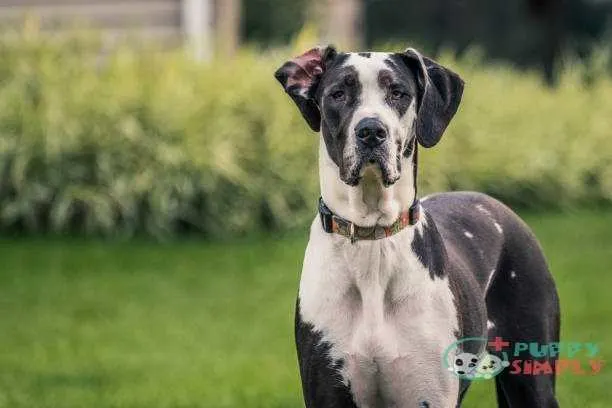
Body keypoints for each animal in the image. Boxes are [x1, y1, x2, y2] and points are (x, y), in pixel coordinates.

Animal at [274, 47, 560, 408]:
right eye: (338, 94)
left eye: (398, 93)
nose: (371, 131)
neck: (372, 239)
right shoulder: (328, 392)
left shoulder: (429, 394)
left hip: (533, 376)